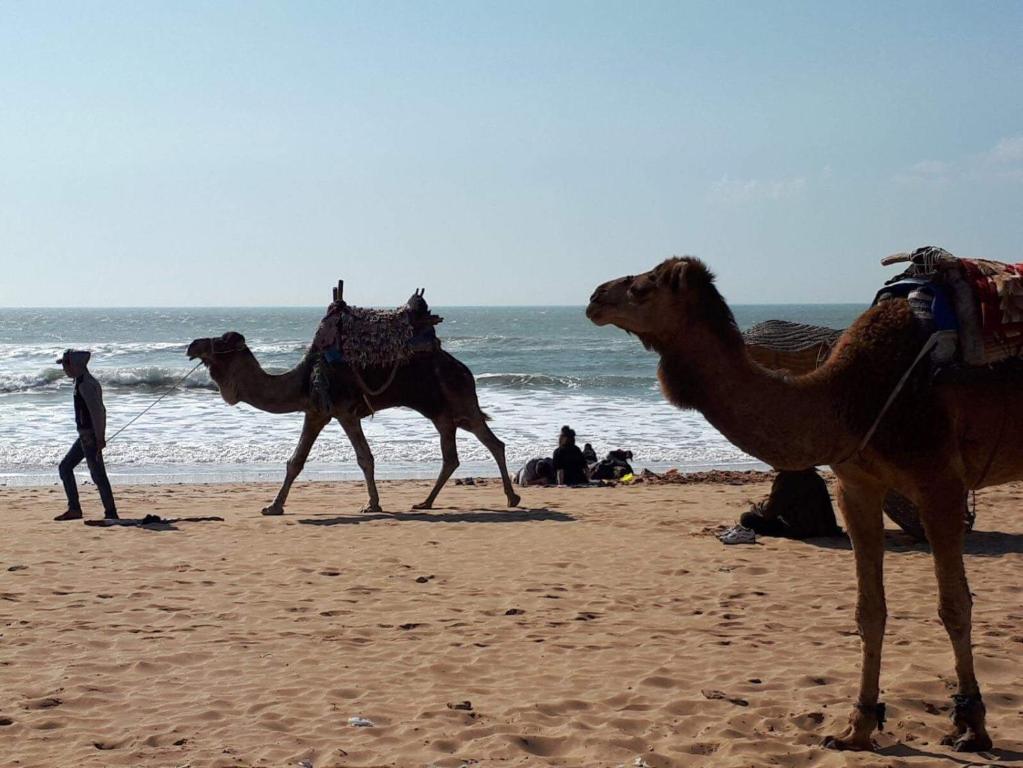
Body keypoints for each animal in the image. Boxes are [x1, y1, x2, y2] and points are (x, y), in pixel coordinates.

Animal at [185, 331, 519, 517]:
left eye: (219, 341)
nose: (191, 345)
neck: (300, 381)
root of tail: (466, 370)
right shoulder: (316, 412)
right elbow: (296, 461)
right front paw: (273, 506)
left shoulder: (344, 411)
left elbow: (364, 457)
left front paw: (372, 505)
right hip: (445, 414)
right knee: (457, 455)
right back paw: (426, 502)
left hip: (459, 403)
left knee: (490, 443)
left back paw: (511, 497)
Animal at [585, 256, 1023, 752]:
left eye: (642, 288)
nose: (595, 298)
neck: (848, 397)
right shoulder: (856, 487)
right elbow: (869, 610)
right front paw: (857, 728)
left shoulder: (940, 485)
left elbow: (955, 606)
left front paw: (971, 726)